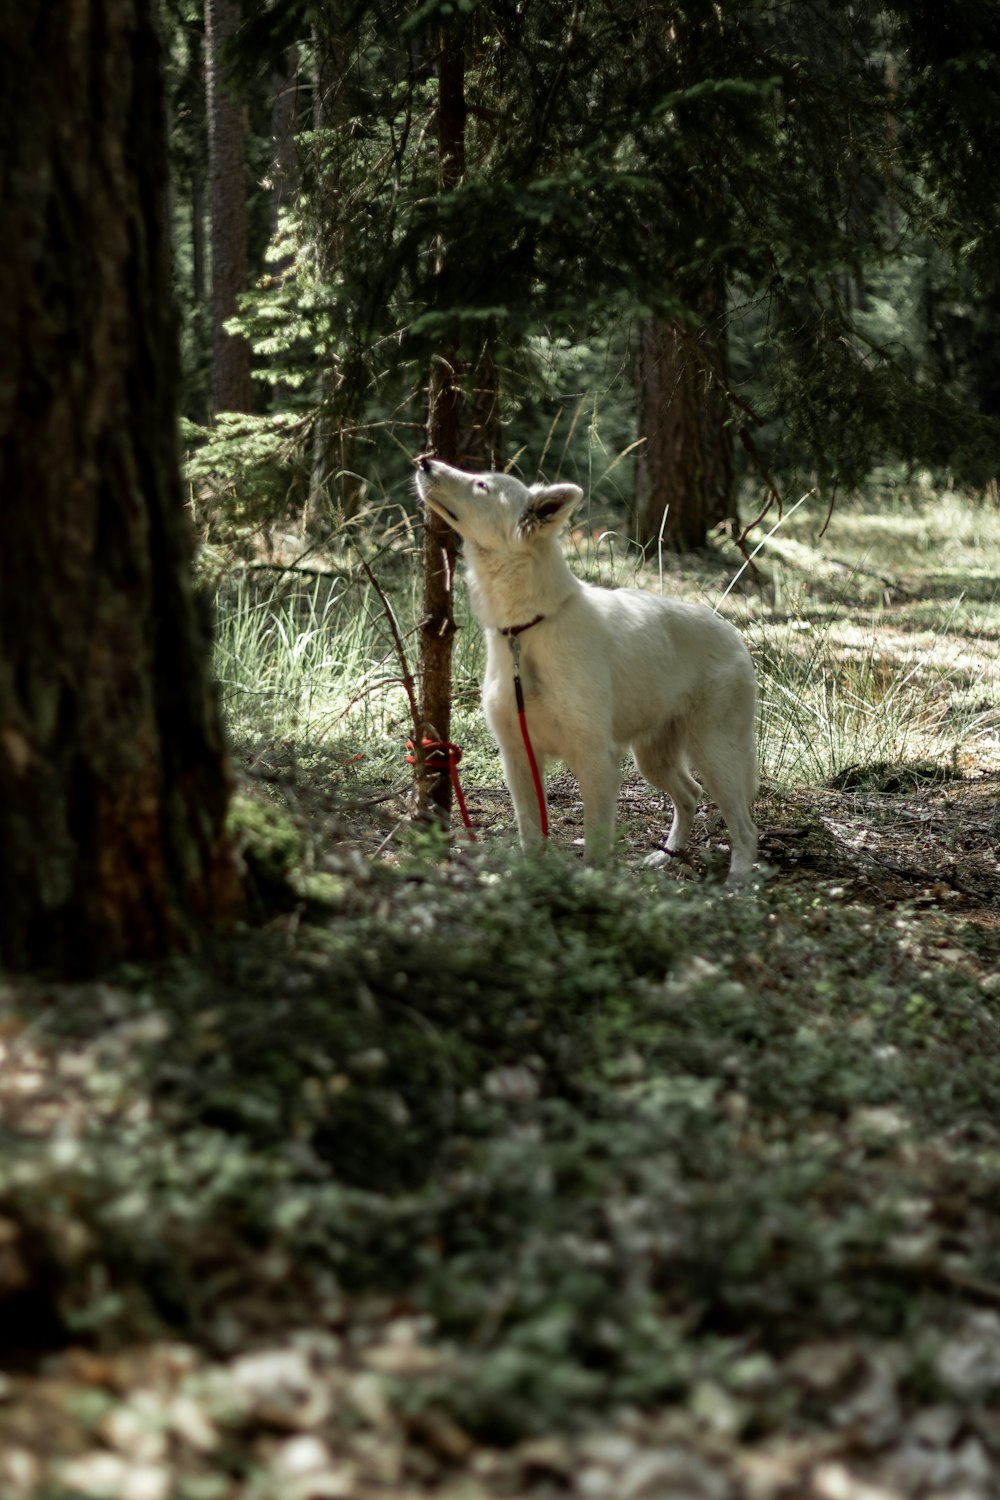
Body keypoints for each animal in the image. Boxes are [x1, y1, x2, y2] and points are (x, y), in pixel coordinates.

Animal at [413, 456, 758, 876]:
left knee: (745, 827)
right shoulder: (519, 757)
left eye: (482, 485)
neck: (527, 630)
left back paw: (739, 879)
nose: (424, 461)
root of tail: (734, 634)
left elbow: (595, 845)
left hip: (714, 754)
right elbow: (531, 835)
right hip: (653, 759)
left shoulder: (595, 758)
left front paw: (592, 884)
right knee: (690, 794)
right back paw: (665, 855)